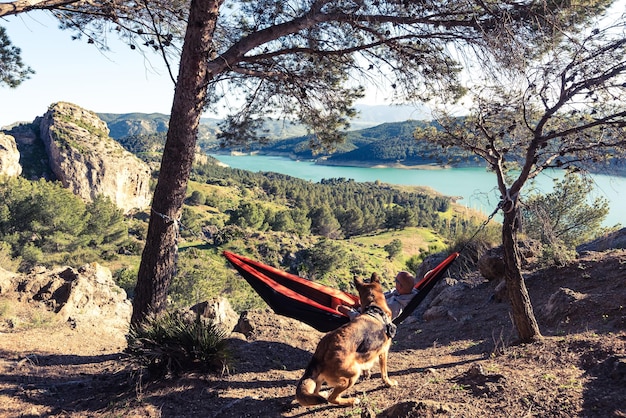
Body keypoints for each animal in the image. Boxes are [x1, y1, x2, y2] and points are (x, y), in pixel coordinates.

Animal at [294, 272, 398, 406]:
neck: (374, 308)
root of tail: (321, 353)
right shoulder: (383, 353)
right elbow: (384, 373)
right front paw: (389, 383)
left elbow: (367, 366)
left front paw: (367, 374)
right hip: (352, 375)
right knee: (332, 398)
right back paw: (351, 400)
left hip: (322, 378)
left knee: (316, 392)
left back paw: (322, 394)